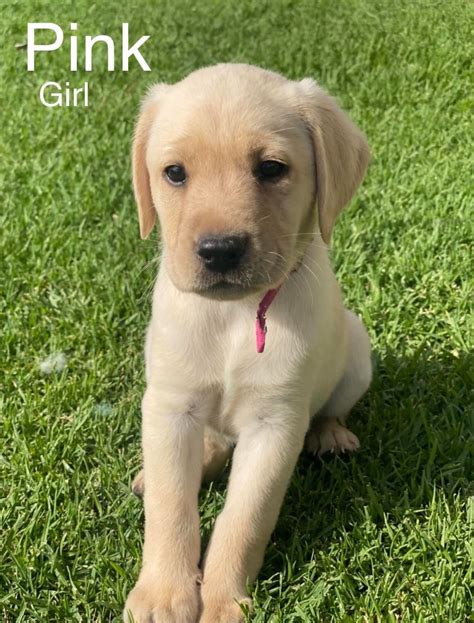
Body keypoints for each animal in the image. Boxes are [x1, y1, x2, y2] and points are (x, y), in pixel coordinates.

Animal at [124, 63, 372, 623]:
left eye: (272, 169)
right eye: (175, 173)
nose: (220, 250)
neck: (235, 316)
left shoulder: (274, 425)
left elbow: (245, 519)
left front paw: (220, 601)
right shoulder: (169, 405)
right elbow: (170, 509)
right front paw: (163, 595)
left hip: (358, 351)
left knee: (332, 409)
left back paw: (331, 436)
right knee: (202, 452)